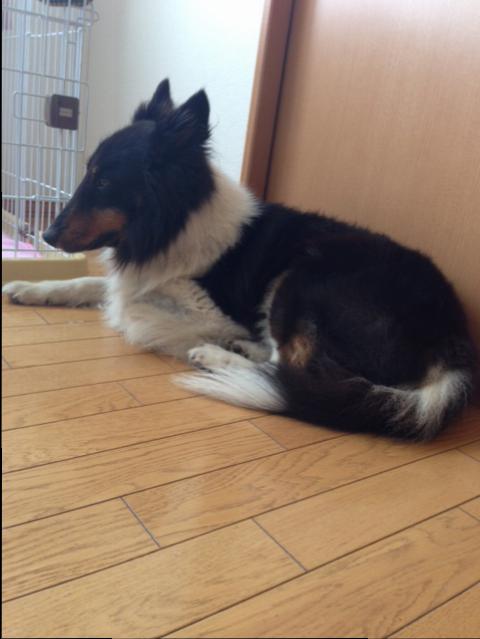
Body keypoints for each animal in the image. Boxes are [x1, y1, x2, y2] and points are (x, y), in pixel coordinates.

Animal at [4, 79, 477, 440]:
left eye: (103, 182)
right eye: (89, 173)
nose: (44, 234)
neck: (175, 221)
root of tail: (454, 340)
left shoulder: (209, 309)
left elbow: (131, 313)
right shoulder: (140, 275)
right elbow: (89, 283)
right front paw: (30, 288)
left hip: (300, 279)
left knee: (291, 368)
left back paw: (219, 356)